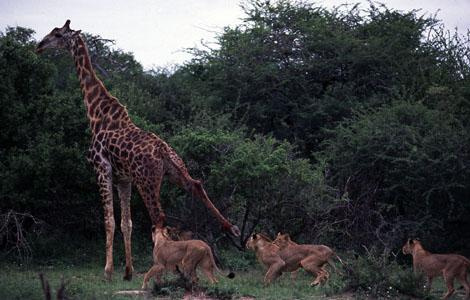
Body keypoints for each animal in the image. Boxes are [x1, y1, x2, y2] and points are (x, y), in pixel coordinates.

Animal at [36, 20, 241, 282]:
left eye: (57, 34)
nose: (39, 46)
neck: (96, 115)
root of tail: (163, 151)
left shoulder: (102, 170)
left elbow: (109, 221)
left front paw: (108, 271)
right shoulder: (123, 179)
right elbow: (127, 223)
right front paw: (127, 271)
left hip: (147, 181)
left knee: (159, 217)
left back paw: (170, 266)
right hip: (174, 171)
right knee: (196, 185)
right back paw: (231, 228)